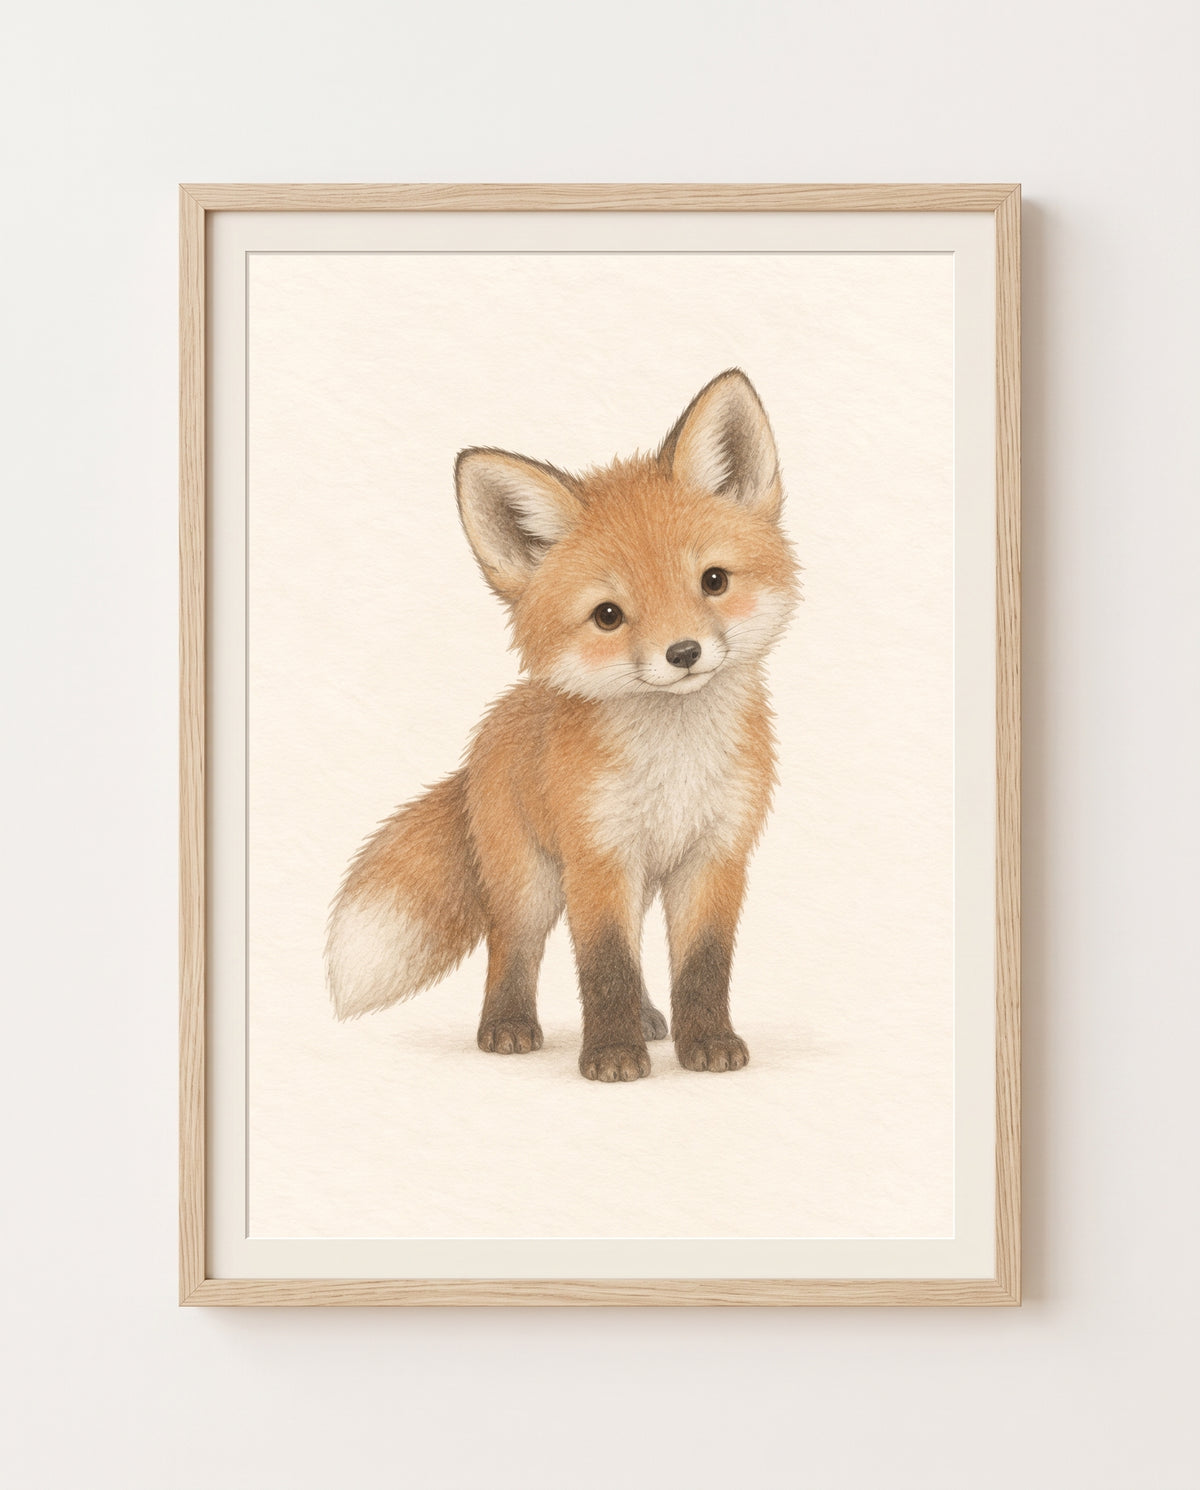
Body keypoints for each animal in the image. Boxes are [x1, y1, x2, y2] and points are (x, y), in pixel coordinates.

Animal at [326, 369, 800, 1082]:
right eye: (608, 616)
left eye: (713, 580)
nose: (684, 652)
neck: (675, 764)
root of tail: (493, 725)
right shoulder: (597, 856)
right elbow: (605, 966)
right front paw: (611, 1055)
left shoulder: (715, 856)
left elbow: (702, 966)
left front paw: (708, 1043)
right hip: (531, 883)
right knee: (511, 950)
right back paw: (508, 1027)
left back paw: (651, 1020)